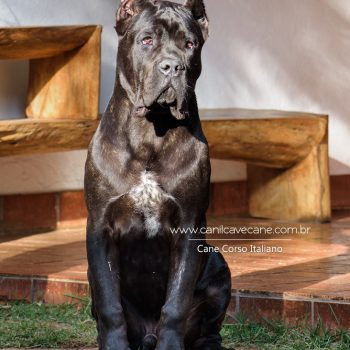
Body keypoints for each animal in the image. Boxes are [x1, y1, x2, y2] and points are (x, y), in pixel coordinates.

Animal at [84, 0, 231, 350]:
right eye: (147, 40)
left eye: (189, 45)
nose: (172, 67)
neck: (150, 131)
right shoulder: (100, 227)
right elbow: (110, 305)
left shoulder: (189, 227)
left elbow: (175, 304)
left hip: (218, 266)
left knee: (209, 328)